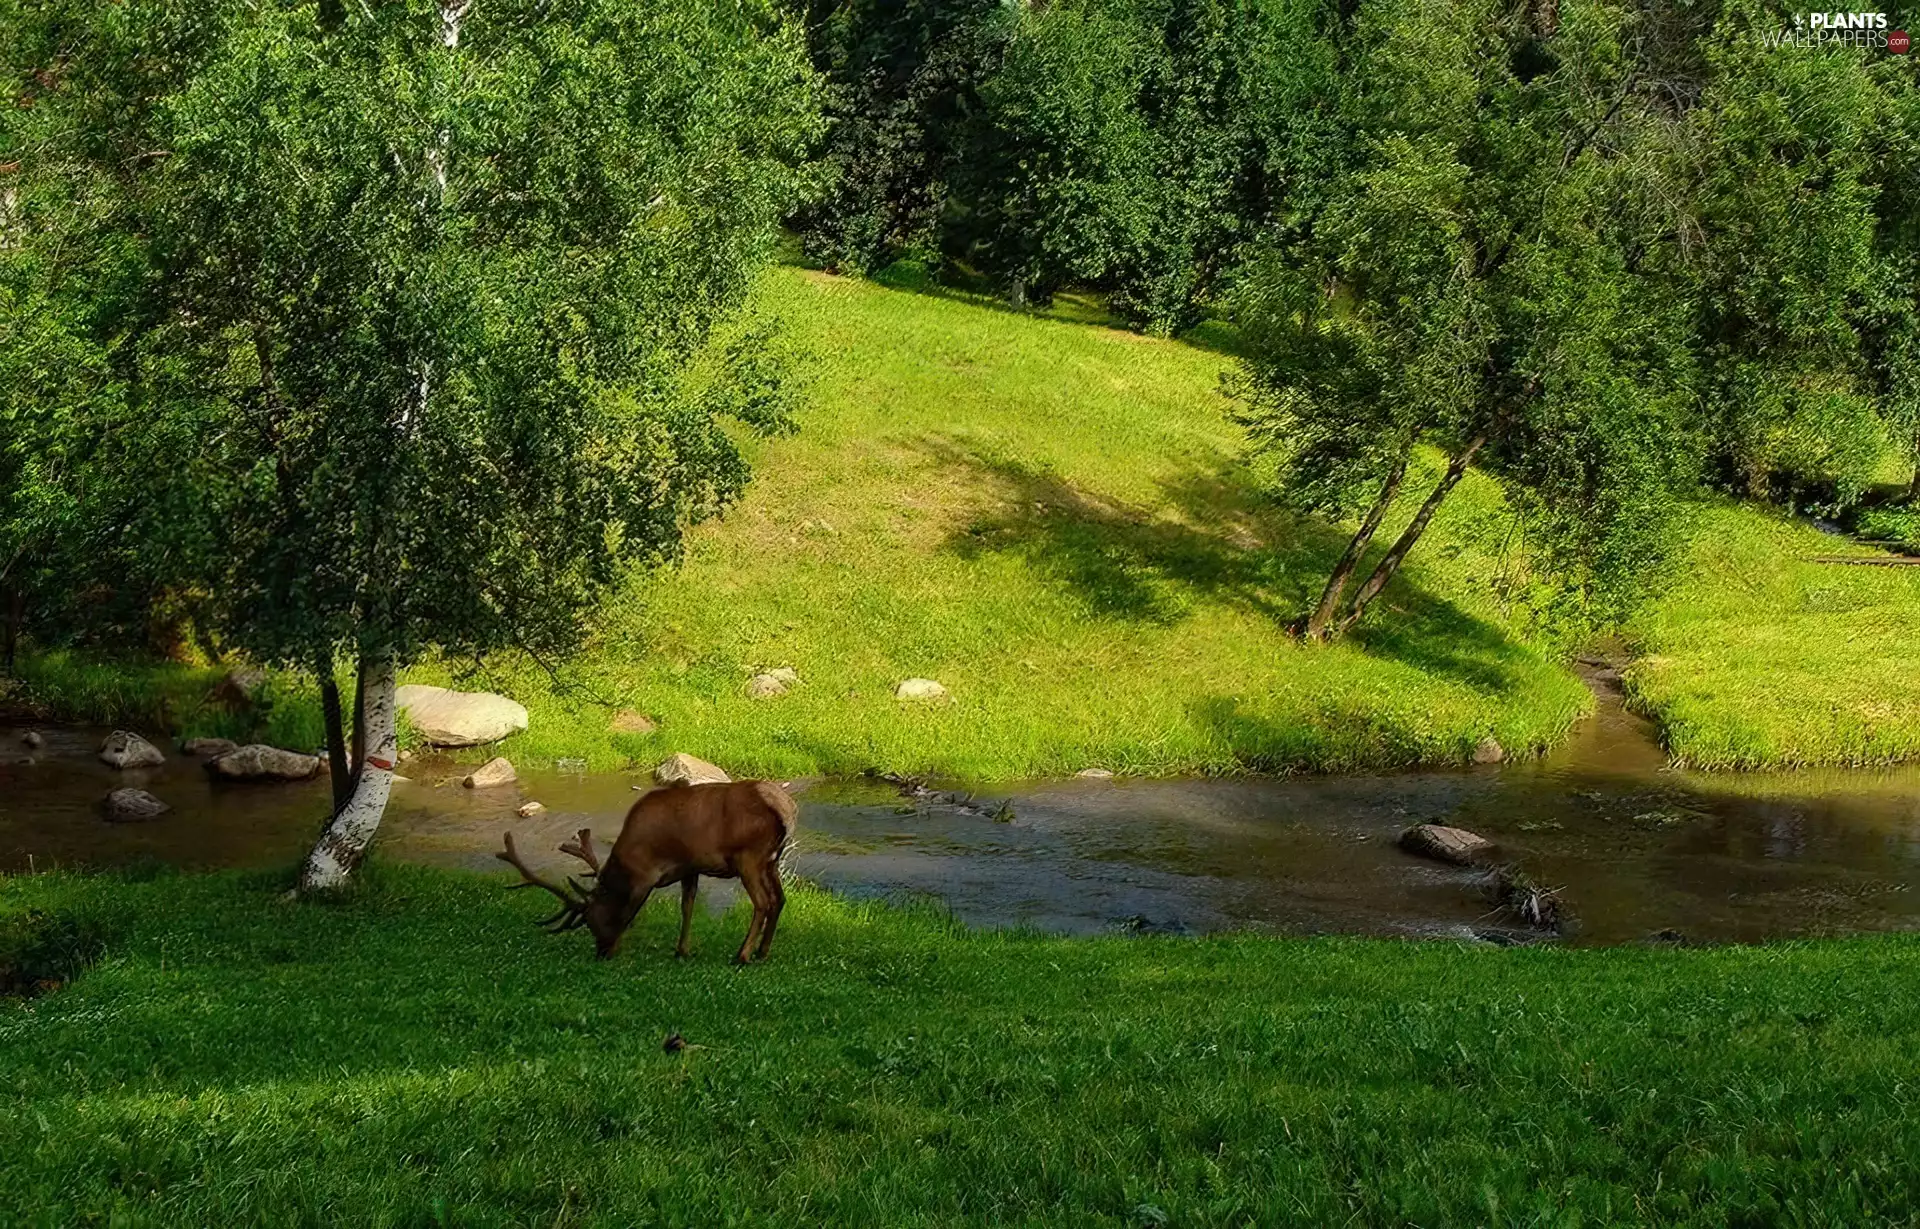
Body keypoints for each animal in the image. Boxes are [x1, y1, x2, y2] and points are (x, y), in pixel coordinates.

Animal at [496, 779, 798, 963]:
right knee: (780, 899)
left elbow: (631, 910)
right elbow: (687, 905)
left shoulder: (645, 875)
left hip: (749, 856)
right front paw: (682, 950)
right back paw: (762, 951)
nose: (602, 953)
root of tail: (786, 811)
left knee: (763, 902)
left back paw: (742, 955)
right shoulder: (691, 866)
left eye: (591, 921)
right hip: (771, 861)